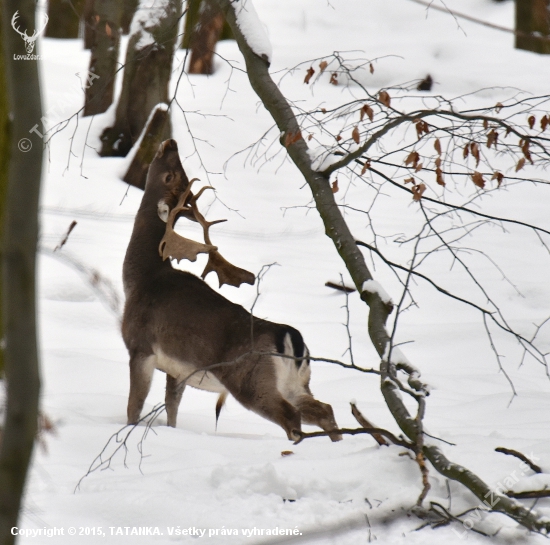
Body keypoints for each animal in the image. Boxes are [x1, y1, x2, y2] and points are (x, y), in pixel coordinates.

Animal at [123, 138, 342, 440]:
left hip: (251, 380)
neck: (140, 278)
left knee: (291, 417)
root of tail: (291, 338)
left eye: (172, 175)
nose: (171, 142)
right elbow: (171, 409)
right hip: (296, 382)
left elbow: (134, 408)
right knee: (325, 409)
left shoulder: (140, 346)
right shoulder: (175, 368)